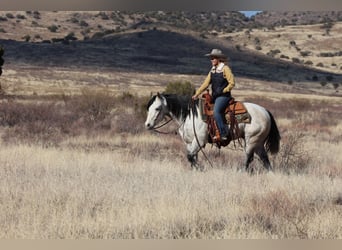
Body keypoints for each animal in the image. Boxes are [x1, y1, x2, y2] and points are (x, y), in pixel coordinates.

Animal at [144, 92, 280, 172]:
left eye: (157, 108)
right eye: (148, 108)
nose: (148, 125)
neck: (189, 115)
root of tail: (265, 111)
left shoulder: (199, 141)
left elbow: (190, 157)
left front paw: (201, 169)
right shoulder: (190, 142)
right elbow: (192, 157)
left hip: (251, 140)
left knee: (248, 158)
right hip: (258, 142)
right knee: (264, 159)